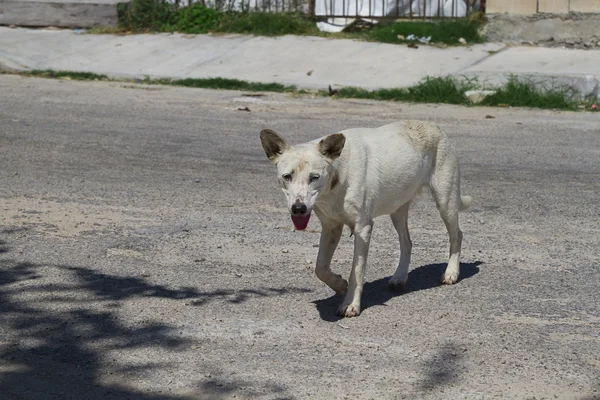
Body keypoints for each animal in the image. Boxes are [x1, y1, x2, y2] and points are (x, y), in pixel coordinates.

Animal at [260, 120, 472, 318]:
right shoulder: (331, 228)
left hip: (445, 201)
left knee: (458, 235)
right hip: (397, 210)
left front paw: (350, 304)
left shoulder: (363, 229)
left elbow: (357, 271)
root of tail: (433, 125)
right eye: (287, 176)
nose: (298, 208)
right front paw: (339, 284)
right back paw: (400, 276)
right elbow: (320, 268)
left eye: (314, 177)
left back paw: (451, 273)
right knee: (407, 242)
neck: (337, 179)